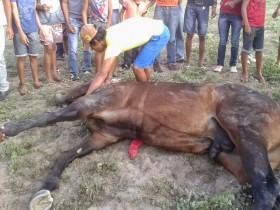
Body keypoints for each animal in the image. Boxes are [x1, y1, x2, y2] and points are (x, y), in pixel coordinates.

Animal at [0, 82, 280, 210]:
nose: (55, 95)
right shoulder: (101, 137)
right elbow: (65, 155)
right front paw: (48, 185)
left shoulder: (88, 106)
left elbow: (48, 118)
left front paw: (9, 128)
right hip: (237, 162)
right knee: (269, 191)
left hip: (244, 133)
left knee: (266, 192)